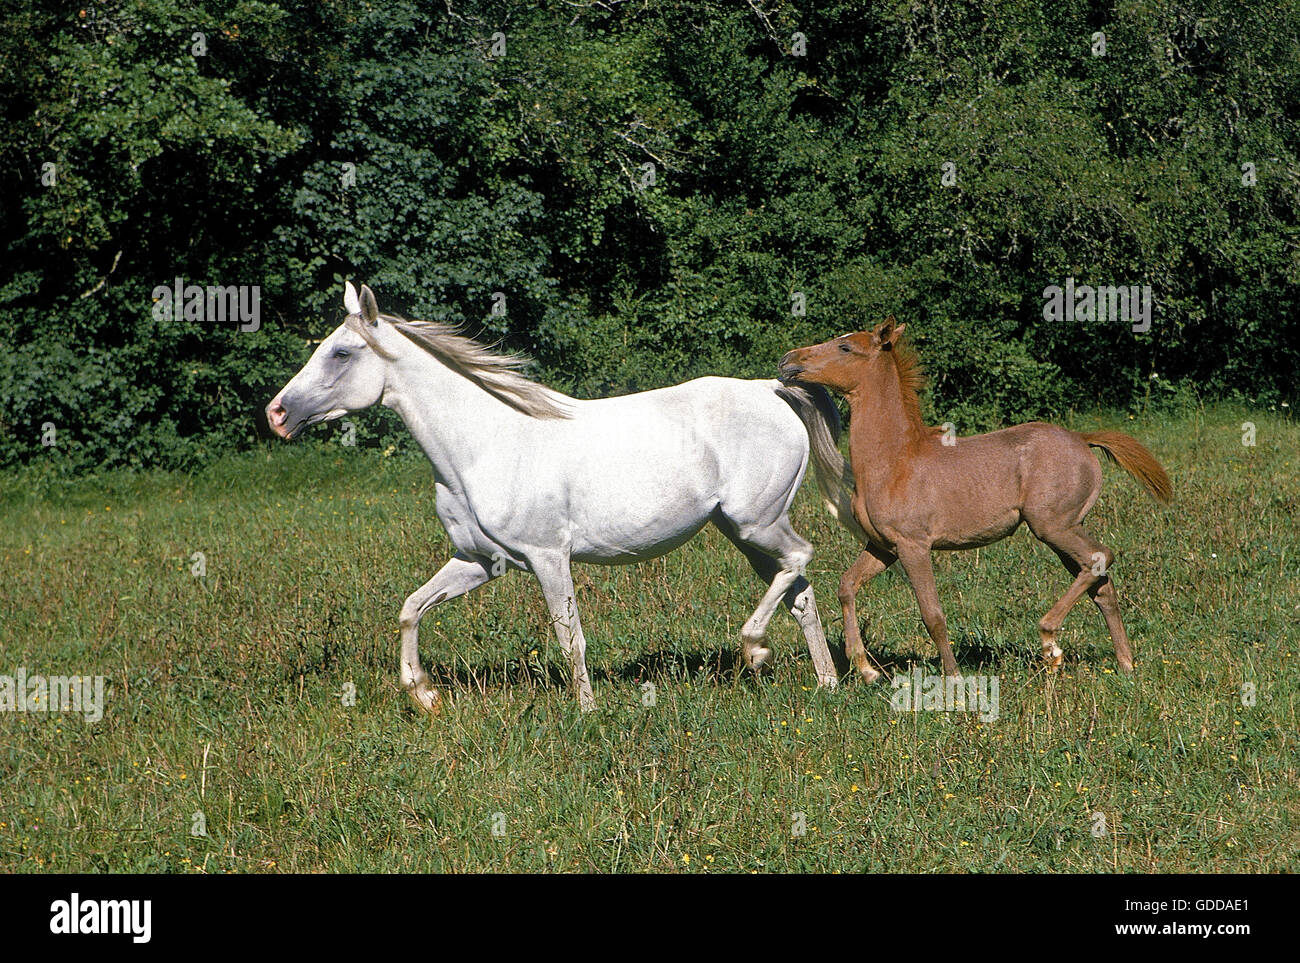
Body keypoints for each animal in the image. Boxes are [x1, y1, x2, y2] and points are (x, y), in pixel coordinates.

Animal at [266, 282, 852, 712]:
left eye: (342, 352)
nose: (277, 413)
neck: (486, 445)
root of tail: (769, 389)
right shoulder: (479, 559)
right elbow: (412, 608)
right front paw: (425, 695)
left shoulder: (550, 557)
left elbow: (571, 638)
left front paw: (588, 713)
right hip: (743, 532)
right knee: (800, 592)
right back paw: (826, 685)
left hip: (757, 522)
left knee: (801, 558)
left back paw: (755, 648)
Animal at [774, 319, 1175, 680]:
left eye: (845, 347)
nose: (787, 360)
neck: (894, 460)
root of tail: (1082, 439)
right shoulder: (883, 546)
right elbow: (847, 586)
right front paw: (866, 669)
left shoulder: (913, 545)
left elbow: (932, 614)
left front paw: (952, 677)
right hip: (1063, 530)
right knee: (1100, 582)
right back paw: (1125, 665)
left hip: (1053, 526)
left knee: (1099, 558)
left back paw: (1050, 643)